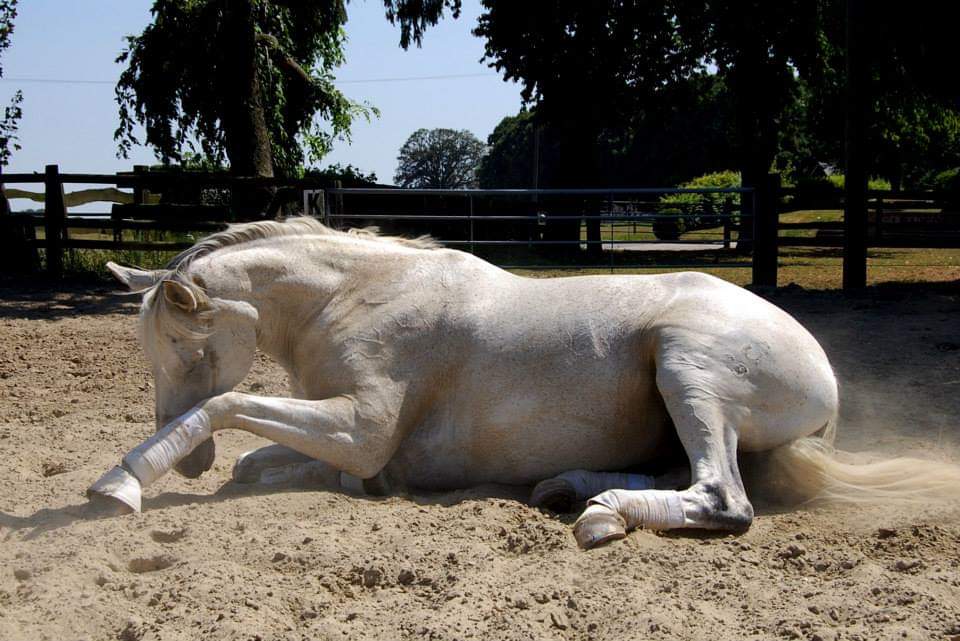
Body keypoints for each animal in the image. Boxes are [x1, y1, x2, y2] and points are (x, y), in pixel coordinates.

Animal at [88, 218, 952, 548]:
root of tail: (823, 373)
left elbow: (228, 404)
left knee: (724, 496)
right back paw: (570, 486)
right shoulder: (354, 441)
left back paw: (602, 514)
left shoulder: (361, 430)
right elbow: (254, 462)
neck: (357, 296)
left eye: (180, 346)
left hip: (687, 365)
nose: (189, 468)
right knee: (691, 472)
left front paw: (119, 484)